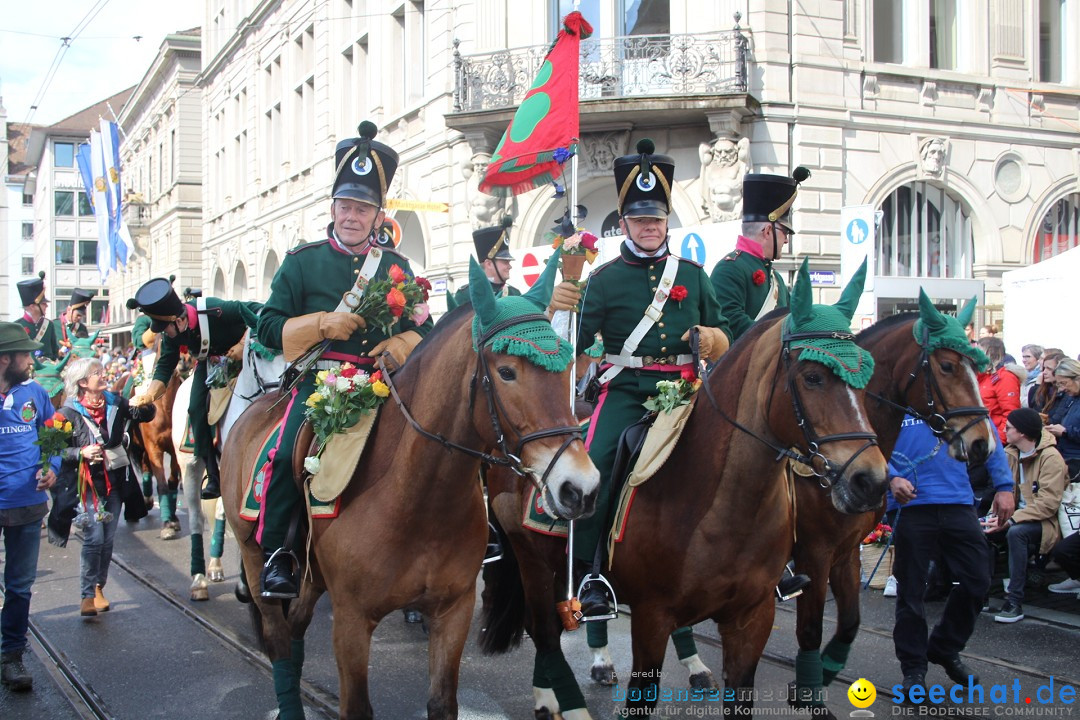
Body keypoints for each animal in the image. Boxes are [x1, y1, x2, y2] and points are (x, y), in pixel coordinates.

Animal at [170, 338, 287, 604]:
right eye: (259, 354)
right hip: (190, 468)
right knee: (195, 516)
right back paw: (199, 580)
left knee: (221, 515)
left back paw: (215, 566)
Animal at [220, 302, 604, 716]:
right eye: (506, 372)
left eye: (567, 369)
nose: (581, 488)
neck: (418, 506)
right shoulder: (352, 620)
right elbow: (356, 707)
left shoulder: (453, 613)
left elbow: (442, 702)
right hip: (254, 560)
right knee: (278, 639)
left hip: (310, 576)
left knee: (294, 633)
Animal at [481, 267, 885, 716]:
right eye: (813, 377)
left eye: (866, 375)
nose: (871, 480)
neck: (724, 506)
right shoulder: (652, 617)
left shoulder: (755, 617)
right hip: (530, 558)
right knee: (543, 630)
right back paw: (553, 693)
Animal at [786, 297, 993, 708]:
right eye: (947, 366)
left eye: (977, 366)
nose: (982, 443)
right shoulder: (814, 552)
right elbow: (810, 628)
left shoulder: (845, 551)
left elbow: (850, 623)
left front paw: (827, 672)